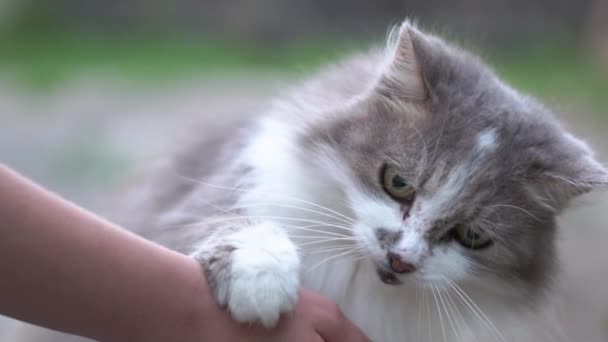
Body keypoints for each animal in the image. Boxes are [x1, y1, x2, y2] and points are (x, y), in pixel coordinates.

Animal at [13, 20, 608, 340]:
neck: (364, 286)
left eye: (473, 236)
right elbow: (236, 225)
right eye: (398, 183)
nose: (401, 259)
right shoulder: (193, 204)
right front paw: (261, 281)